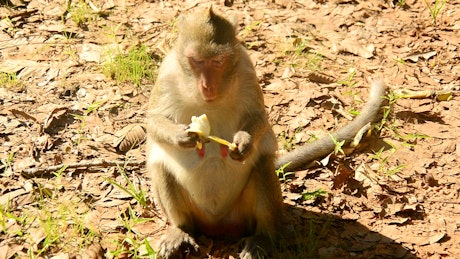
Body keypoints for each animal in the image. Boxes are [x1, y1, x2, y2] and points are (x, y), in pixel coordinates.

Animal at [146, 7, 386, 259]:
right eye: (197, 61)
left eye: (218, 61)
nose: (207, 86)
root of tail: (218, 226)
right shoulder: (167, 73)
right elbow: (152, 119)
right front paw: (182, 137)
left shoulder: (246, 69)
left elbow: (260, 115)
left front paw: (244, 142)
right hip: (197, 216)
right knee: (161, 168)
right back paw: (180, 230)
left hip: (242, 213)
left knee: (261, 165)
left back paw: (263, 237)